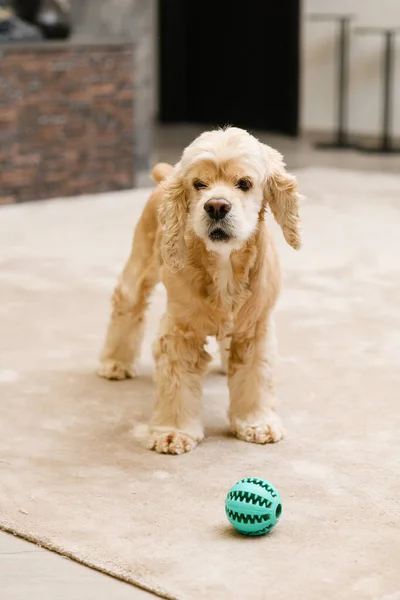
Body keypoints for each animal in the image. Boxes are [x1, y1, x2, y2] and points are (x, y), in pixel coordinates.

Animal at [98, 127, 302, 454]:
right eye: (199, 184)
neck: (224, 265)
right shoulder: (180, 331)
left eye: (244, 183)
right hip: (140, 265)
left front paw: (256, 423)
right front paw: (172, 433)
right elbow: (177, 385)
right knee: (126, 303)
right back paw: (115, 363)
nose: (216, 206)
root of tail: (166, 176)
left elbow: (256, 377)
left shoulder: (255, 328)